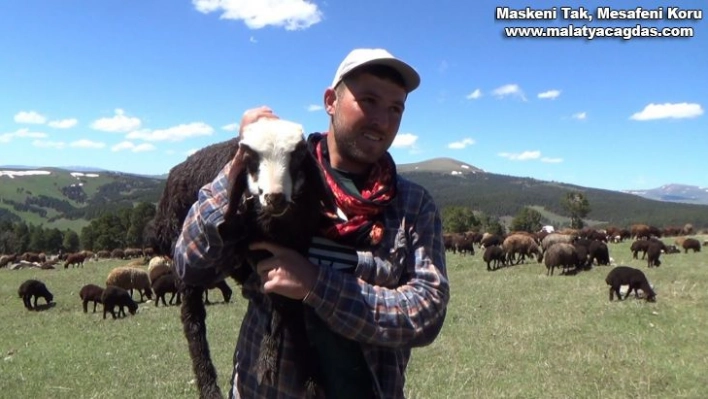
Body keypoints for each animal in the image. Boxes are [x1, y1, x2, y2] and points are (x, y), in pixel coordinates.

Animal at [146, 119, 332, 399]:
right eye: (250, 159)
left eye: (298, 156)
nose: (274, 197)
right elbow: (283, 305)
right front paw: (278, 364)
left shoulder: (295, 248)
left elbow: (290, 305)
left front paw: (305, 374)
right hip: (181, 258)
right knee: (193, 321)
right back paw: (209, 388)